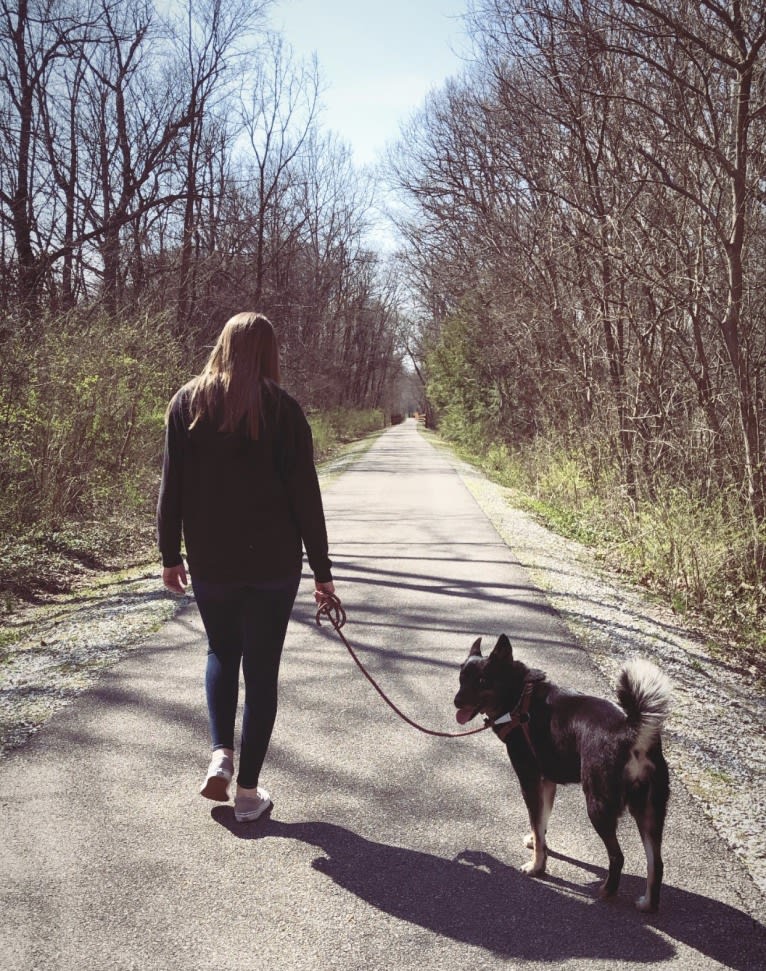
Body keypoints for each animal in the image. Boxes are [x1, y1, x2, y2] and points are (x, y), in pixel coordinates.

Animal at [456, 636, 672, 916]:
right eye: (461, 678)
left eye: (482, 681)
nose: (456, 701)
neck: (520, 698)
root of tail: (632, 732)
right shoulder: (547, 781)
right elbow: (541, 822)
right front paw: (537, 843)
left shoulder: (529, 780)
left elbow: (537, 822)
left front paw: (537, 866)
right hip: (650, 812)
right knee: (656, 863)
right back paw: (648, 903)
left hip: (598, 806)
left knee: (618, 856)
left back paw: (607, 890)